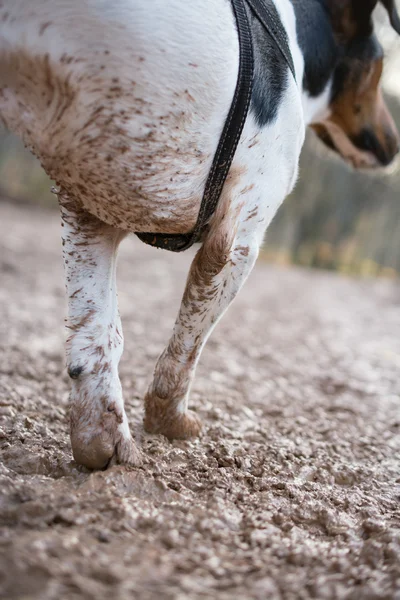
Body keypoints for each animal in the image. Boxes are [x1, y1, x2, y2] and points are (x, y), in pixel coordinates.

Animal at [0, 0, 398, 468]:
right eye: (380, 66)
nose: (394, 145)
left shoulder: (89, 214)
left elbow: (98, 338)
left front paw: (102, 443)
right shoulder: (235, 243)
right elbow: (187, 349)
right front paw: (168, 419)